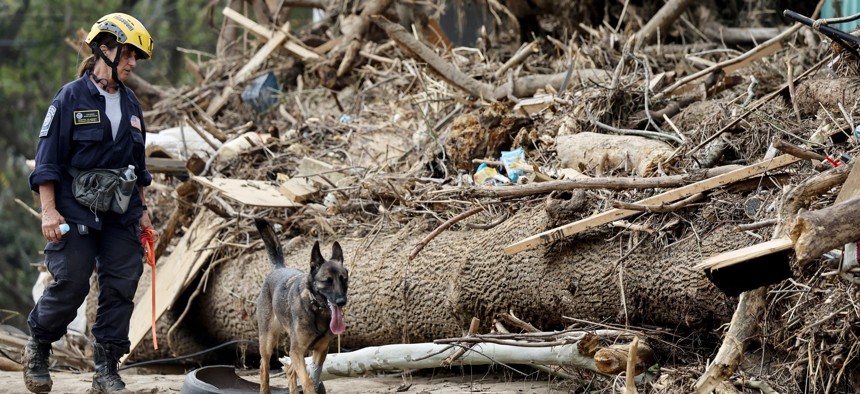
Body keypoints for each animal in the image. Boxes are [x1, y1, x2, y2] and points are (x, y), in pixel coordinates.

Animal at [255, 219, 350, 394]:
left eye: (344, 279)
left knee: (290, 370)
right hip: (268, 342)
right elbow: (307, 381)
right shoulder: (297, 351)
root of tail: (279, 268)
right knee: (264, 368)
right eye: (327, 281)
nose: (341, 301)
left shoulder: (319, 351)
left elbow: (312, 377)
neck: (316, 310)